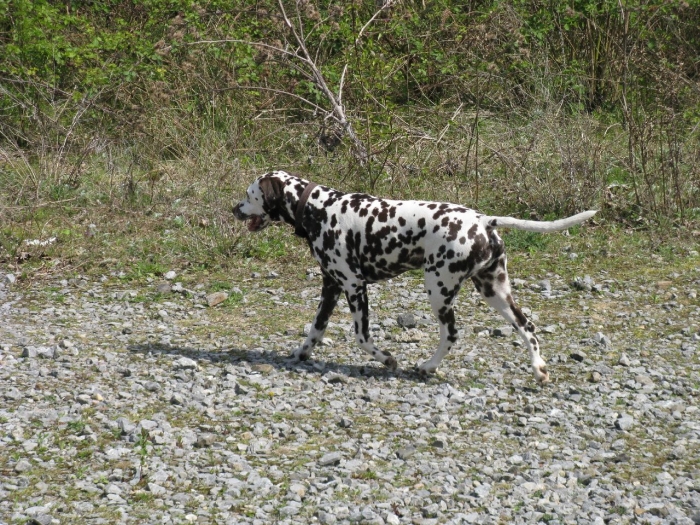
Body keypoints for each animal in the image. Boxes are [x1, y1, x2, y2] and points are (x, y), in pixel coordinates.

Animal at [232, 171, 592, 380]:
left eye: (249, 195)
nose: (234, 208)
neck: (319, 208)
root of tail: (482, 220)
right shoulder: (331, 287)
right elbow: (315, 331)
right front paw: (301, 354)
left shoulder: (354, 287)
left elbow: (362, 338)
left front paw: (387, 359)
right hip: (494, 291)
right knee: (526, 326)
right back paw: (539, 369)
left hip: (438, 290)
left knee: (451, 335)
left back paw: (428, 366)